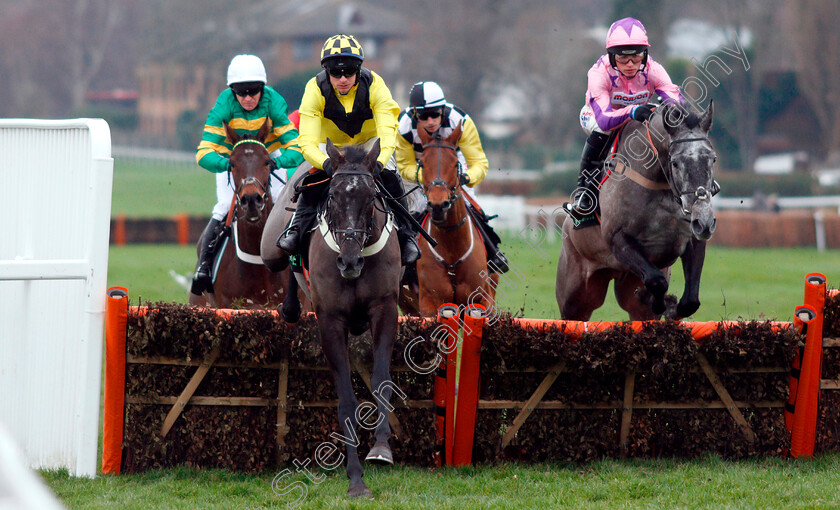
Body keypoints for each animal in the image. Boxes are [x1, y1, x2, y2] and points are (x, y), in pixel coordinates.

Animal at [556, 100, 720, 318]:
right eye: (675, 162)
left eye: (713, 159)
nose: (704, 221)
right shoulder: (617, 238)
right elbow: (657, 282)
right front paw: (658, 301)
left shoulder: (692, 238)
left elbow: (690, 301)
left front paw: (669, 307)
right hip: (575, 295)